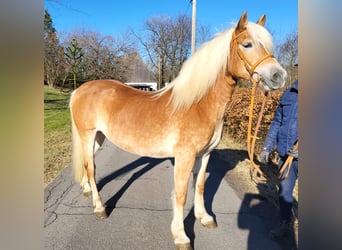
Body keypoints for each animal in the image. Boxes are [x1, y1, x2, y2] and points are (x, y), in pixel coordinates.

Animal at [69, 11, 286, 250]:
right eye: (247, 44)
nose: (279, 76)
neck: (198, 105)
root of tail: (80, 89)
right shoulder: (185, 156)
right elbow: (181, 194)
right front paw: (181, 236)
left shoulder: (205, 155)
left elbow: (199, 186)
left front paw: (204, 217)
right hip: (88, 135)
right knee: (90, 168)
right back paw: (99, 207)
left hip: (98, 137)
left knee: (87, 164)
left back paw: (86, 190)